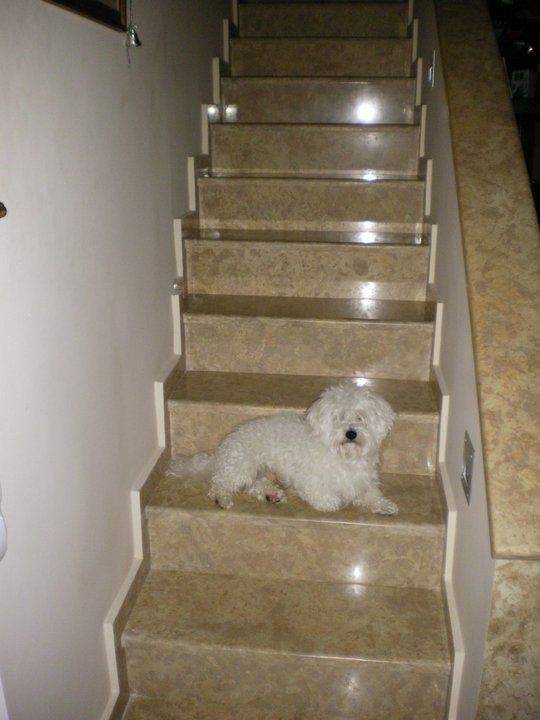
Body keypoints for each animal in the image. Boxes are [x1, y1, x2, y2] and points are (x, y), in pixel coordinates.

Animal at [167, 380, 398, 515]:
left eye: (360, 417)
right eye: (338, 417)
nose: (351, 433)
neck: (344, 456)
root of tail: (221, 450)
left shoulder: (362, 483)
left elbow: (372, 495)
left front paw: (384, 506)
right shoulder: (309, 480)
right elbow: (323, 496)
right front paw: (330, 502)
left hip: (256, 471)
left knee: (254, 485)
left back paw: (272, 494)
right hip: (242, 465)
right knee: (219, 484)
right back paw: (223, 499)